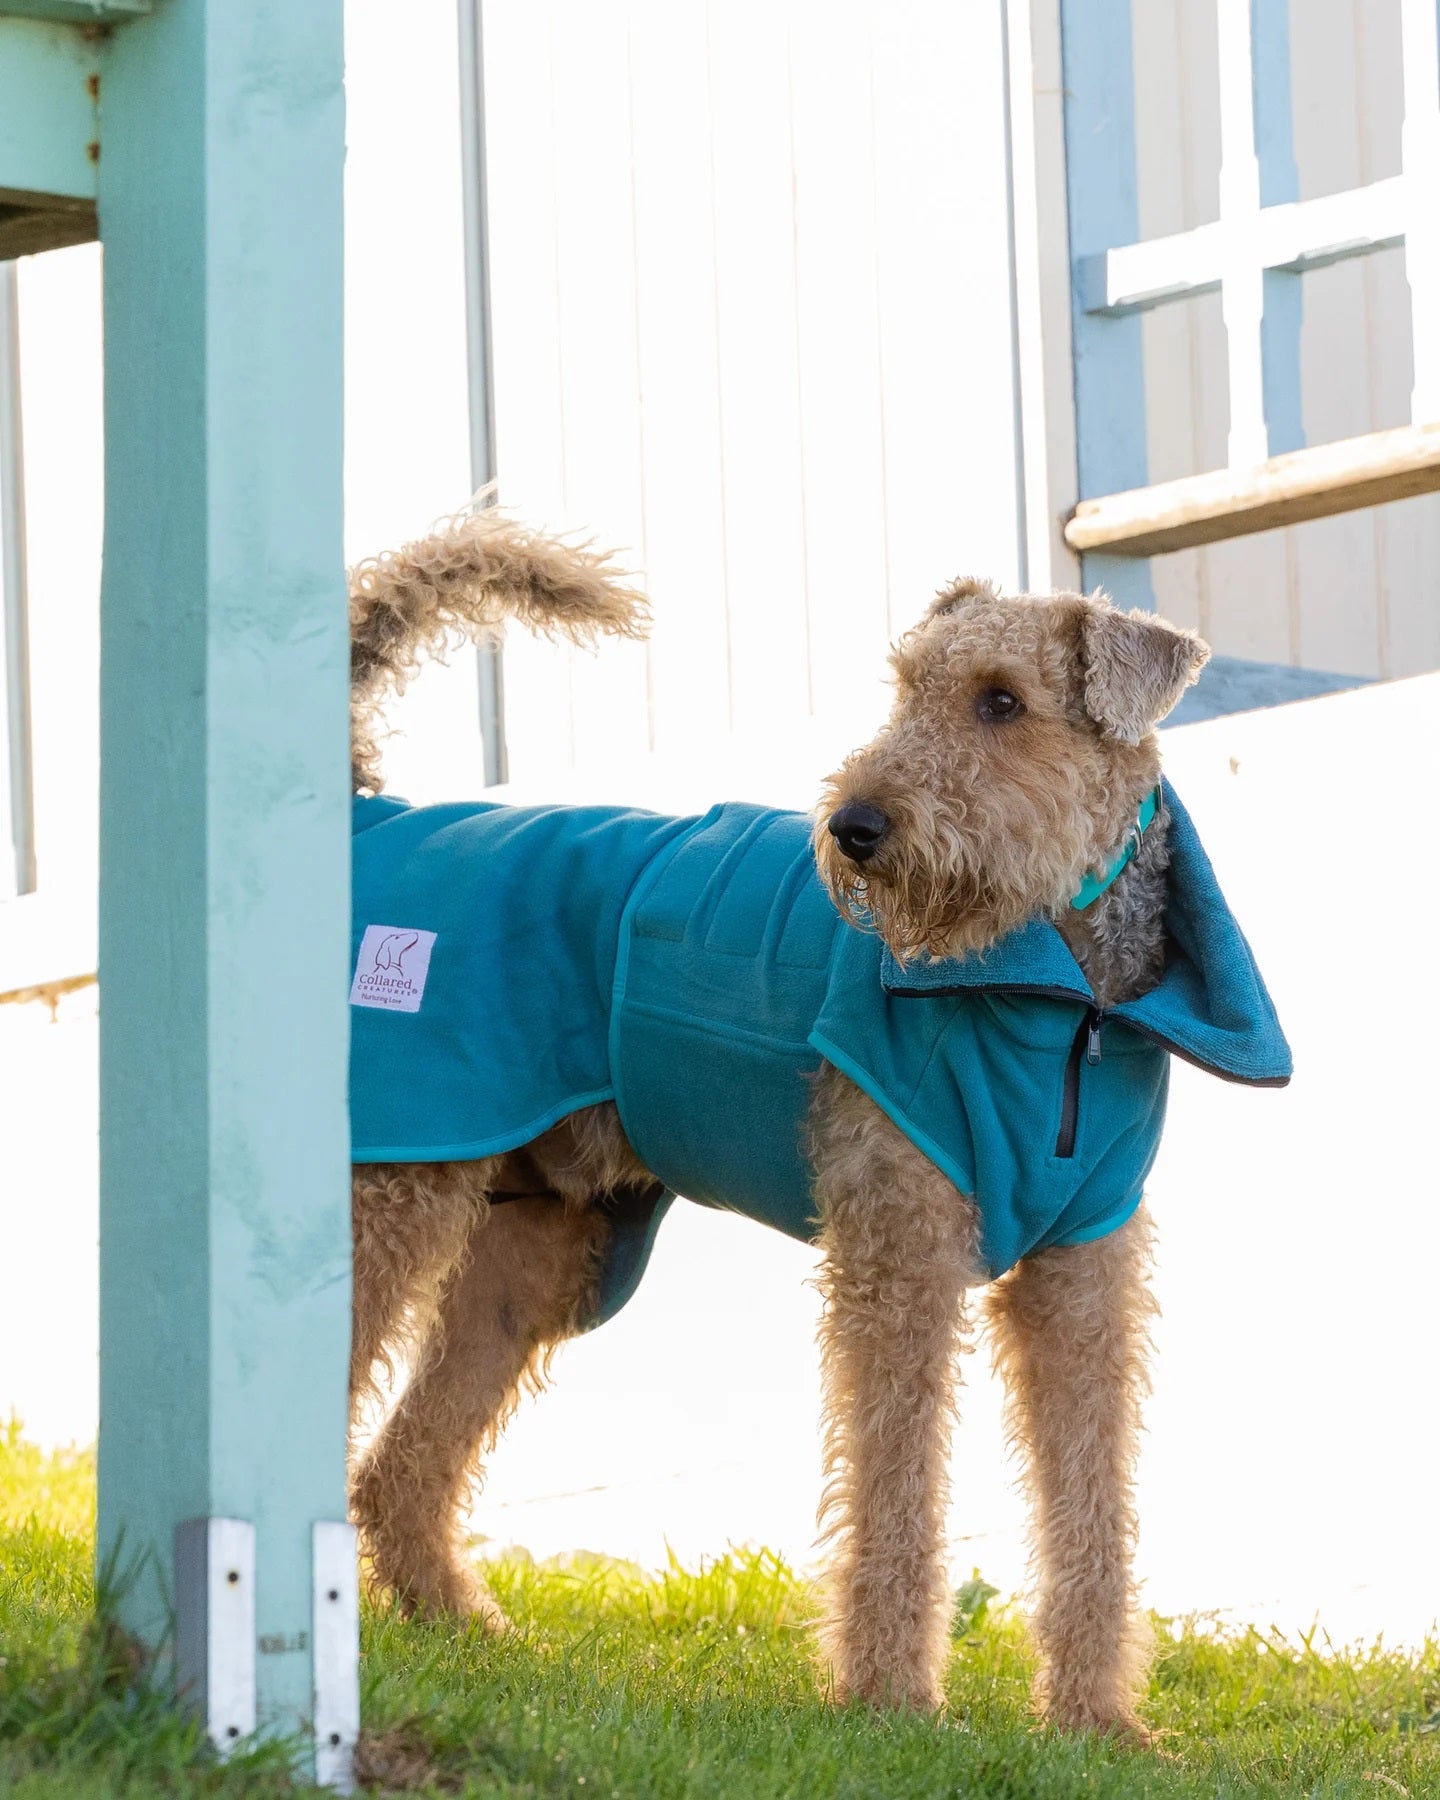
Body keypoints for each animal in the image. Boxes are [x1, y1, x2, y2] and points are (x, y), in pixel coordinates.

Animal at [343, 511, 1288, 1742]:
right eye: (905, 685)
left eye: (1001, 701)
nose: (855, 828)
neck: (1069, 1001)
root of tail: (371, 808)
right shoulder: (901, 1258)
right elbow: (895, 1489)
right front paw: (890, 1702)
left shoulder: (1083, 1276)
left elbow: (1089, 1499)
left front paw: (1097, 1727)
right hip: (399, 1184)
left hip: (539, 1248)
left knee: (402, 1467)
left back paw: (472, 1633)